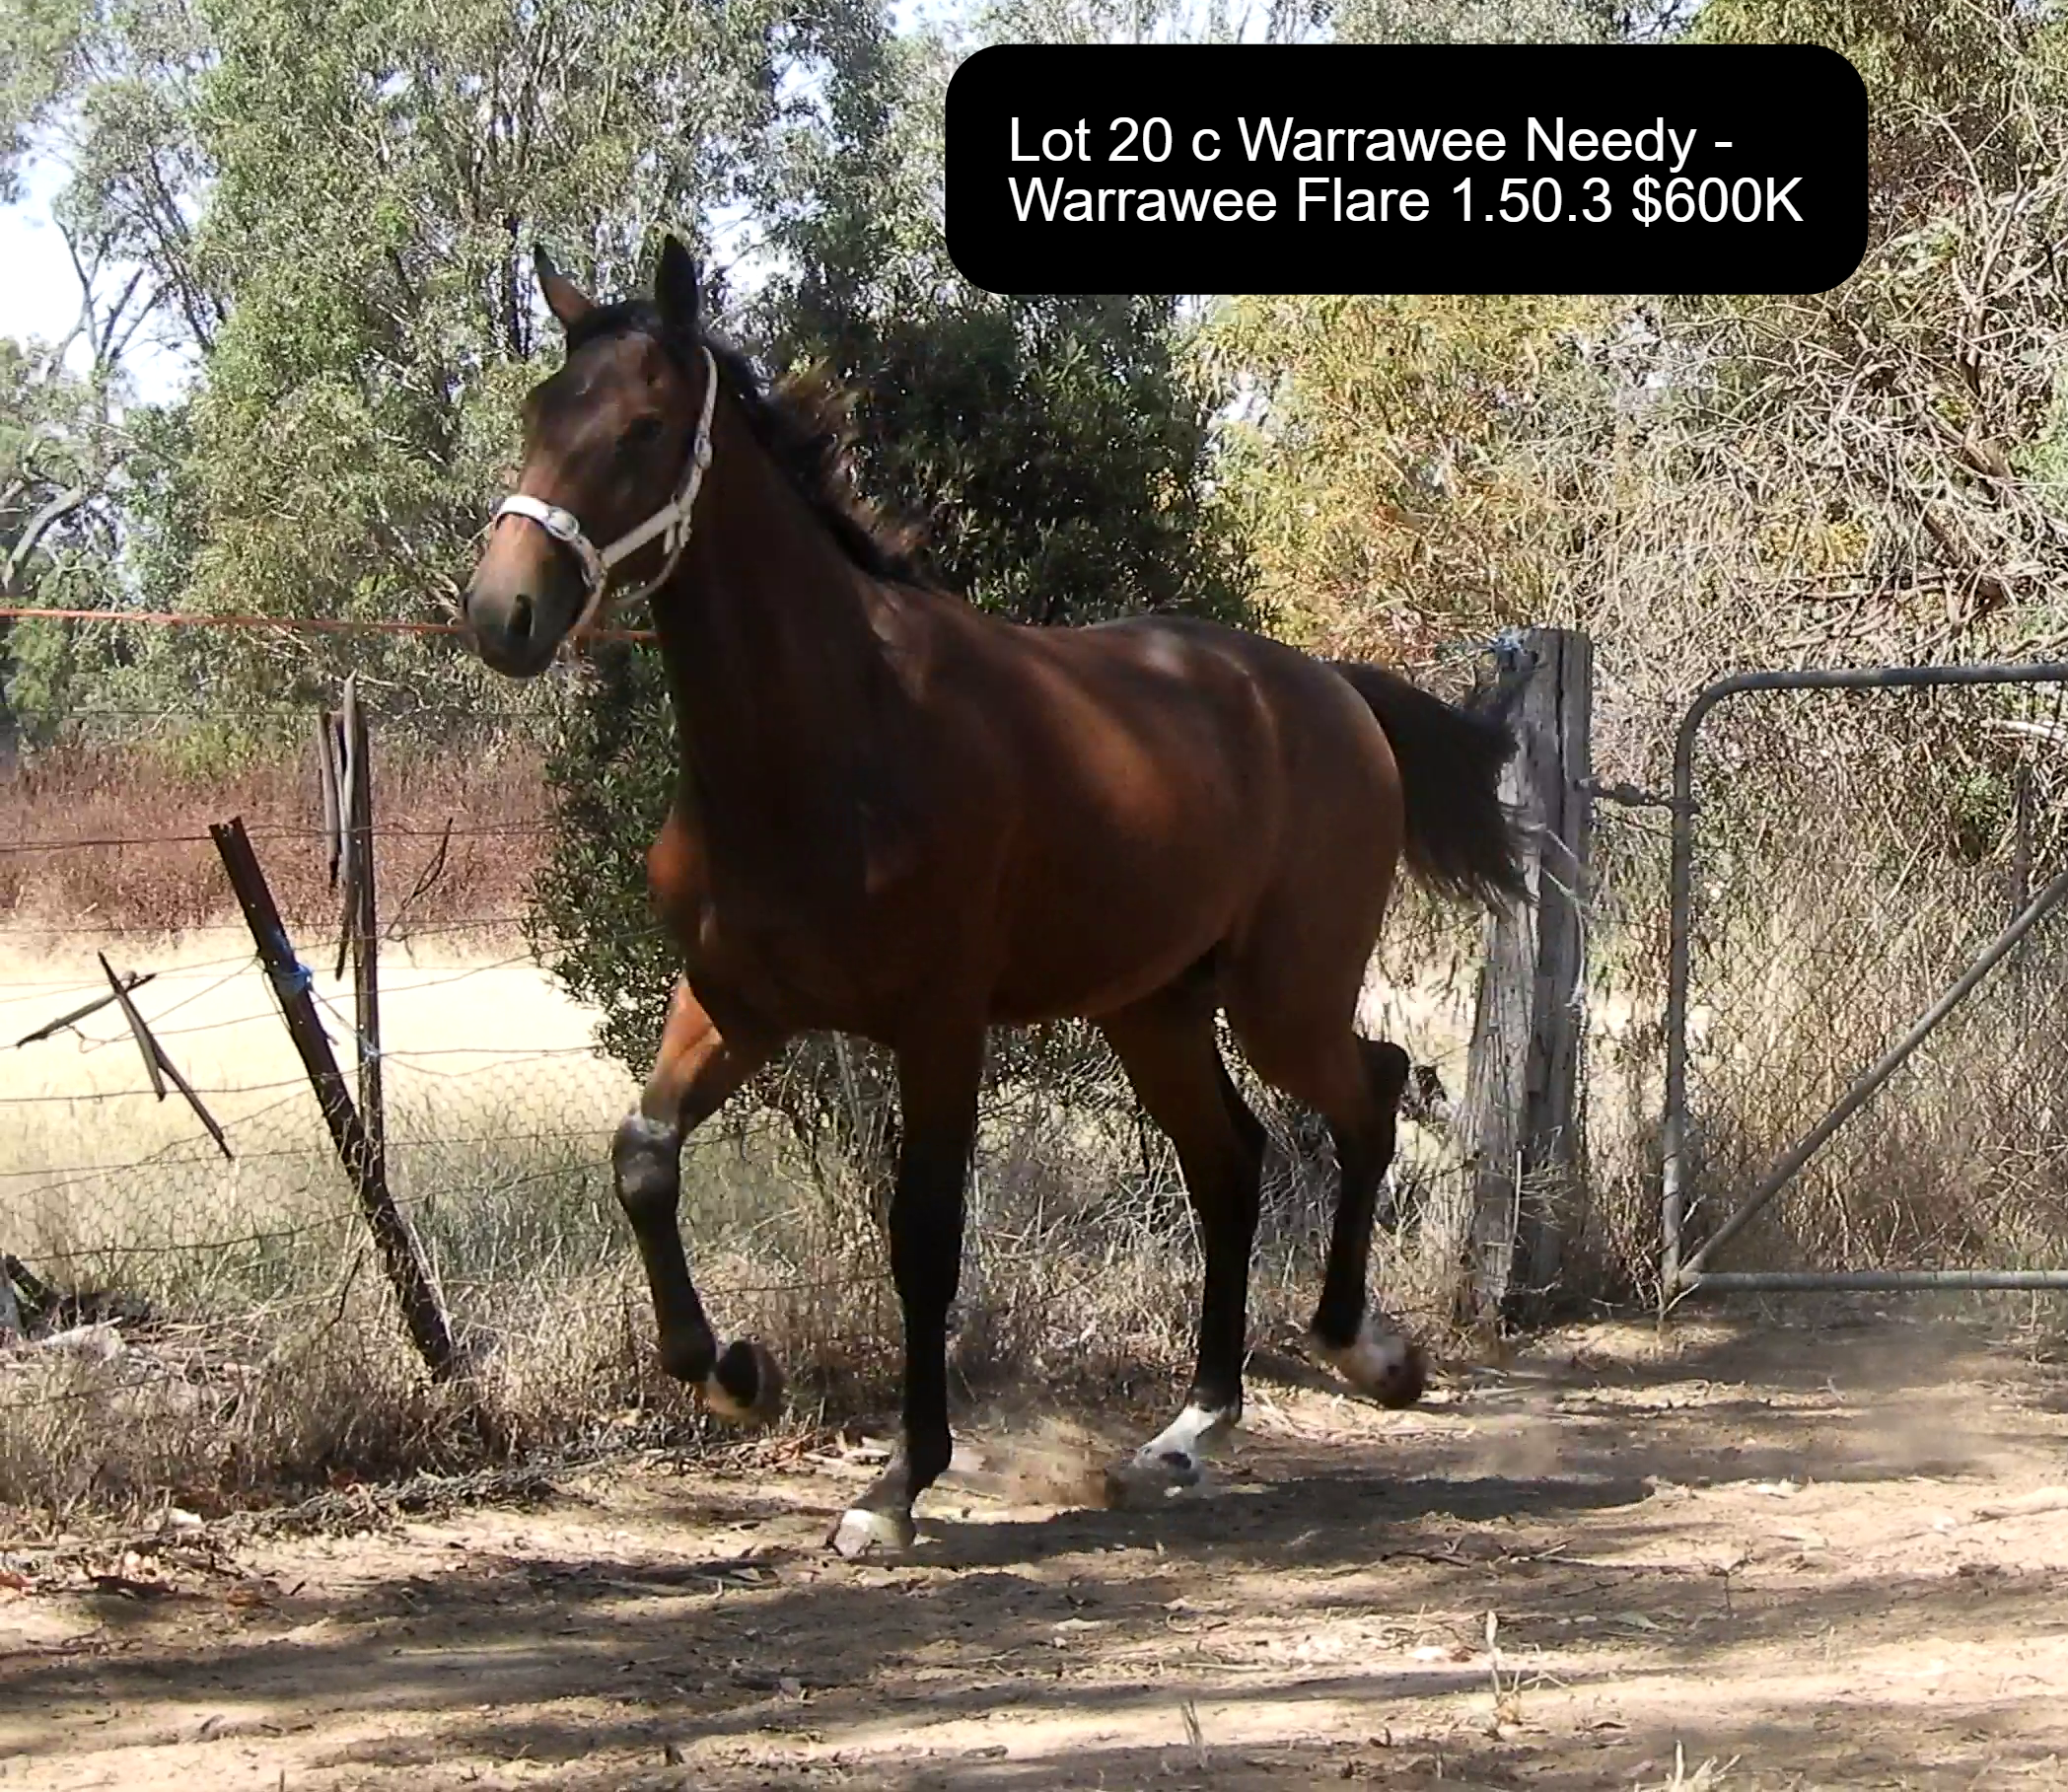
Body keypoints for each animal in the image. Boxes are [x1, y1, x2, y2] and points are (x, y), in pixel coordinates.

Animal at [461, 235, 1526, 1557]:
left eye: (643, 428)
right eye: (538, 412)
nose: (501, 611)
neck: (833, 738)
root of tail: (1330, 688)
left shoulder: (938, 1024)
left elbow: (923, 1235)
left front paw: (894, 1485)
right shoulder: (734, 1002)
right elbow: (644, 1157)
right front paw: (735, 1372)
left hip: (1285, 997)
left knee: (1368, 1093)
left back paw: (1365, 1351)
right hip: (1153, 1007)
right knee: (1231, 1159)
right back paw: (1193, 1428)